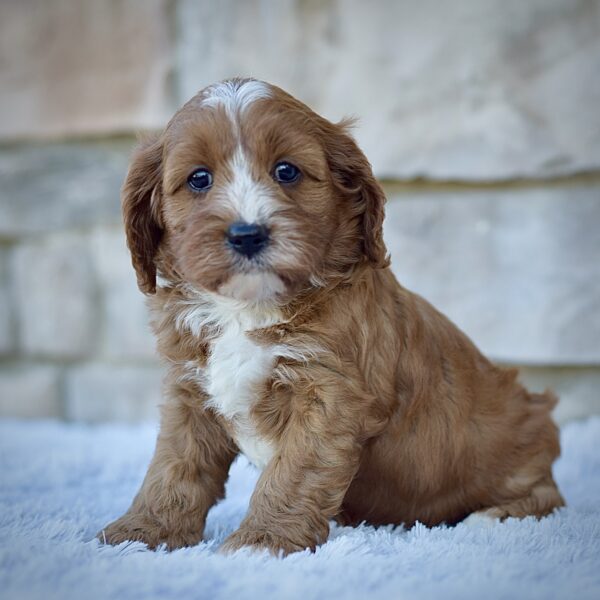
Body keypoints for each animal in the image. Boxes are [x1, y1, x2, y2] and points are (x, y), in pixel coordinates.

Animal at [97, 77, 564, 556]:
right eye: (199, 179)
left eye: (286, 171)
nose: (247, 234)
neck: (248, 308)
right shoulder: (190, 389)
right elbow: (173, 466)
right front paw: (143, 532)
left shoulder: (329, 391)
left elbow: (294, 470)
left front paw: (261, 541)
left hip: (522, 450)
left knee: (546, 496)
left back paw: (489, 517)